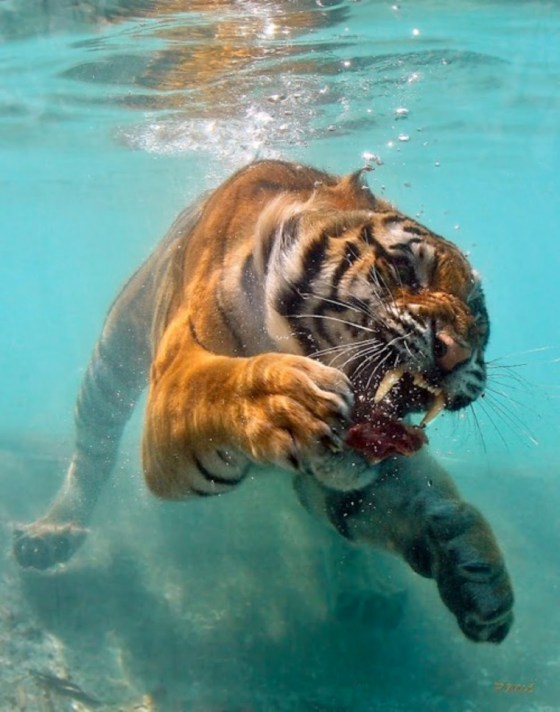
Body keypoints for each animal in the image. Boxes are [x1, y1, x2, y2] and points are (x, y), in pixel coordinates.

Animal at [13, 159, 513, 643]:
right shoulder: (174, 379)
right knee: (93, 448)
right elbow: (217, 384)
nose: (457, 354)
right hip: (113, 354)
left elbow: (418, 503)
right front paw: (287, 401)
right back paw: (50, 533)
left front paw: (477, 573)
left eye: (478, 314)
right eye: (406, 269)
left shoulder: (355, 474)